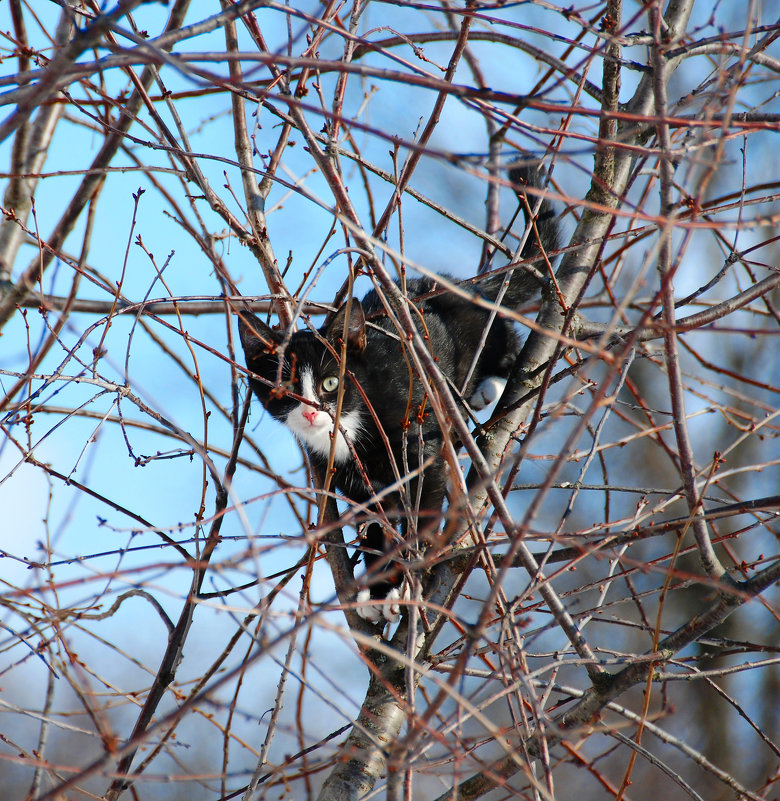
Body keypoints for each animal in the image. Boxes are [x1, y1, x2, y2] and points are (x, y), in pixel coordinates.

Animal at [235, 164, 556, 624]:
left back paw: (487, 386)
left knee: (504, 338)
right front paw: (377, 589)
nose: (313, 412)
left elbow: (421, 514)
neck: (352, 429)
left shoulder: (421, 448)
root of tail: (458, 285)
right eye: (285, 386)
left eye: (330, 383)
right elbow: (375, 528)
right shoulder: (360, 488)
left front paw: (402, 584)